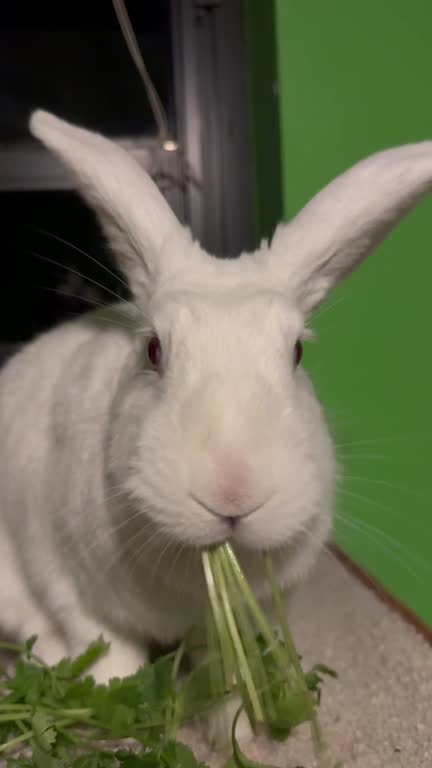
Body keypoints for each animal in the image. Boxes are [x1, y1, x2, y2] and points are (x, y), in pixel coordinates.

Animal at [1, 109, 432, 745]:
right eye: (153, 350)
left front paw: (242, 732)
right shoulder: (59, 571)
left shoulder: (224, 627)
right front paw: (116, 714)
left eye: (296, 354)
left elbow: (223, 675)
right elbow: (109, 652)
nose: (232, 491)